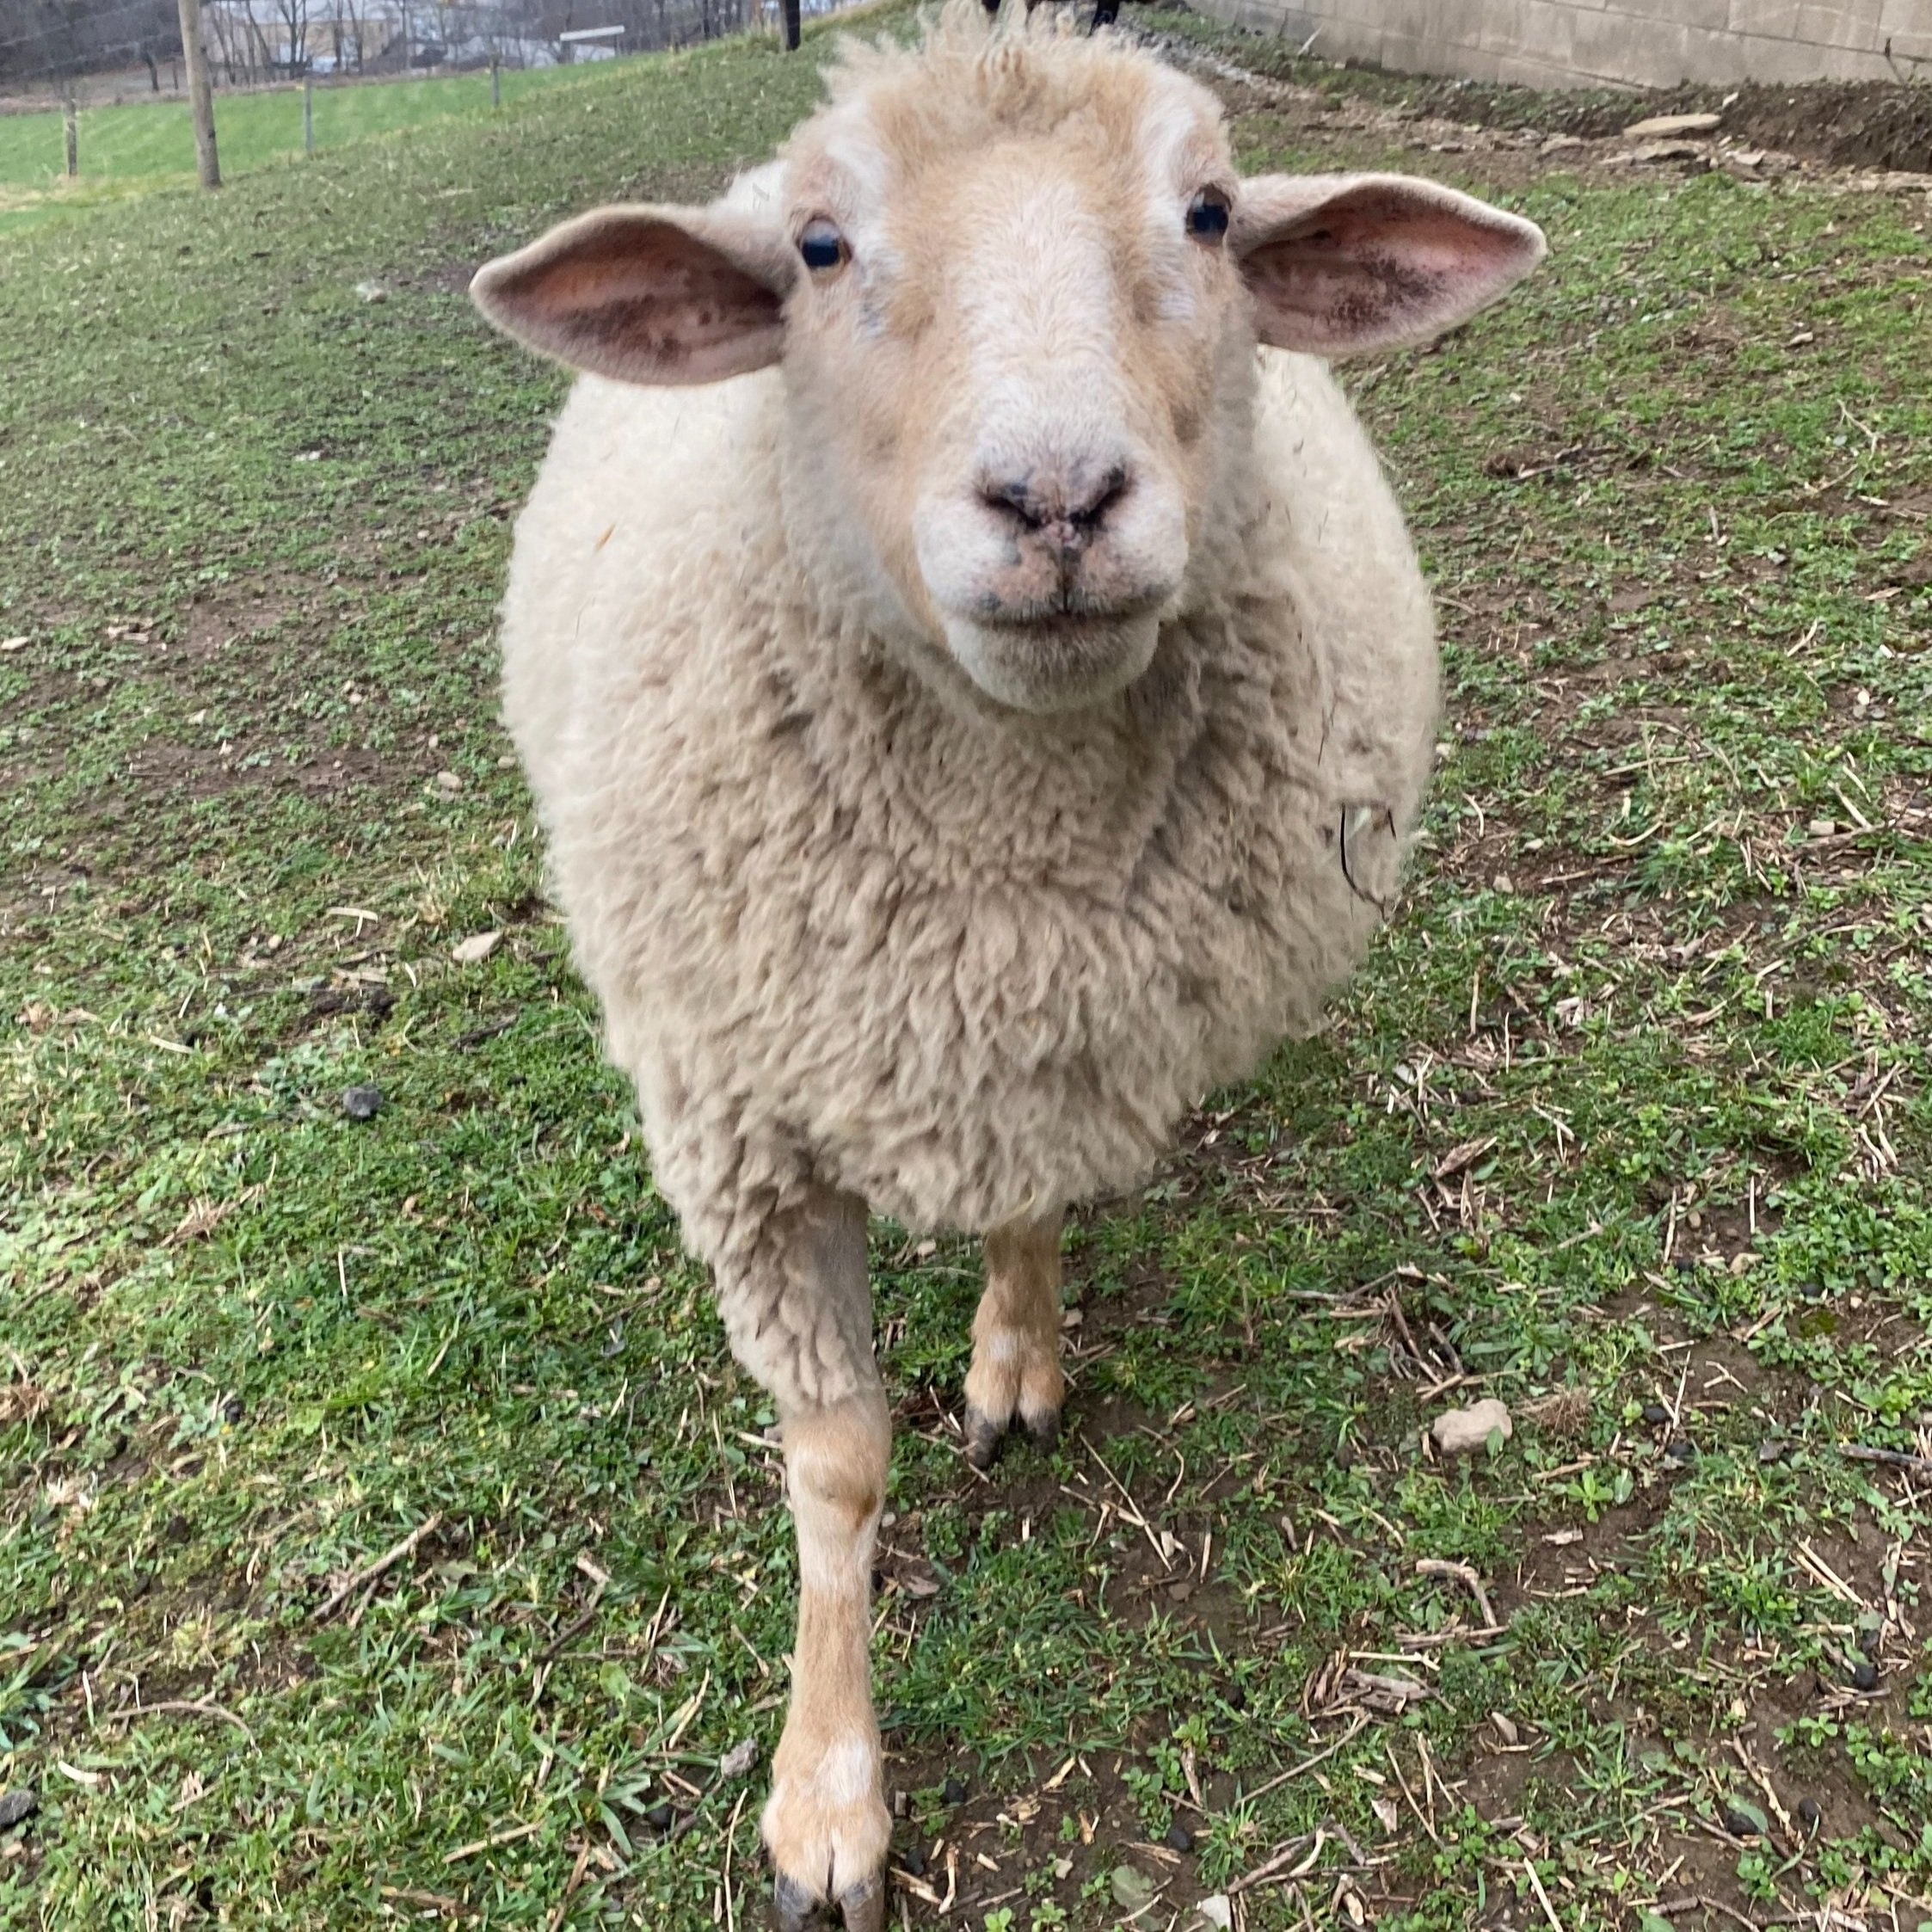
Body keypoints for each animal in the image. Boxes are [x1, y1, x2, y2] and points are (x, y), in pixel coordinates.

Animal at [470, 8, 1544, 1924]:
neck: (1004, 854)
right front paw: (825, 1790)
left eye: (1209, 213)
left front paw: (1013, 1357)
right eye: (820, 248)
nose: (1056, 497)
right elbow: (834, 1463)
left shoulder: (1055, 1031)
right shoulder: (748, 1138)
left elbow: (1029, 1208)